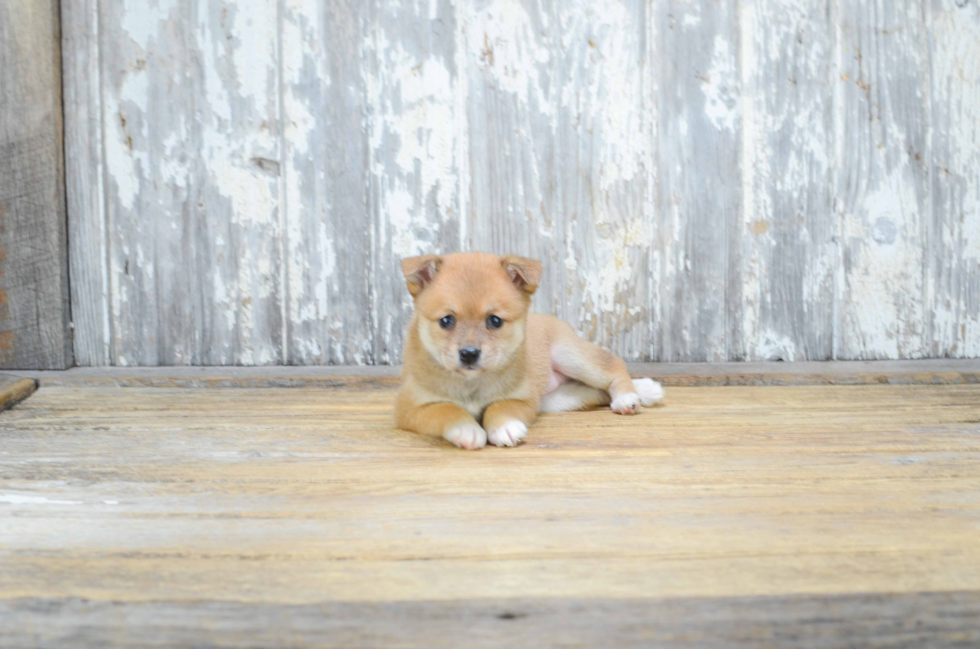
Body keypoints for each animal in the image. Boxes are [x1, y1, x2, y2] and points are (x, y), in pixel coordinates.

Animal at [394, 251, 664, 448]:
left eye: (495, 321)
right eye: (446, 321)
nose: (469, 353)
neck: (472, 385)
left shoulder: (521, 399)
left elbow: (500, 407)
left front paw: (503, 426)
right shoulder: (411, 408)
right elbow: (446, 409)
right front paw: (466, 428)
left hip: (571, 357)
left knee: (613, 367)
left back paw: (629, 396)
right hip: (559, 399)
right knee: (596, 392)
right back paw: (644, 390)